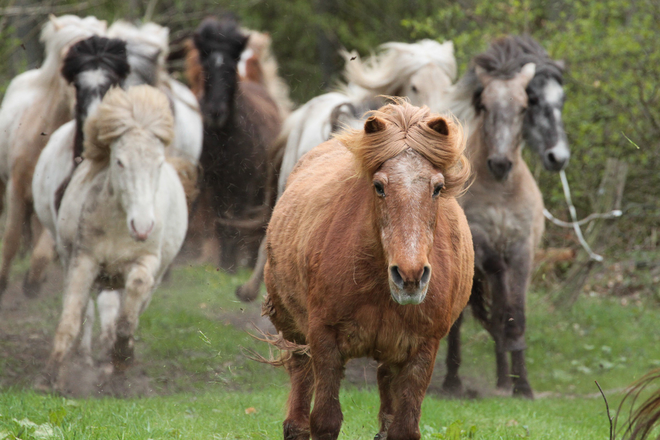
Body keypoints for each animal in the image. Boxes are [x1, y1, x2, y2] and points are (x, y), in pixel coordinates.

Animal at [262, 101, 474, 438]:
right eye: (379, 186)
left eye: (438, 188)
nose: (410, 277)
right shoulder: (323, 338)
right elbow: (325, 420)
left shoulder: (423, 349)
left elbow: (404, 426)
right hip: (295, 333)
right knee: (298, 408)